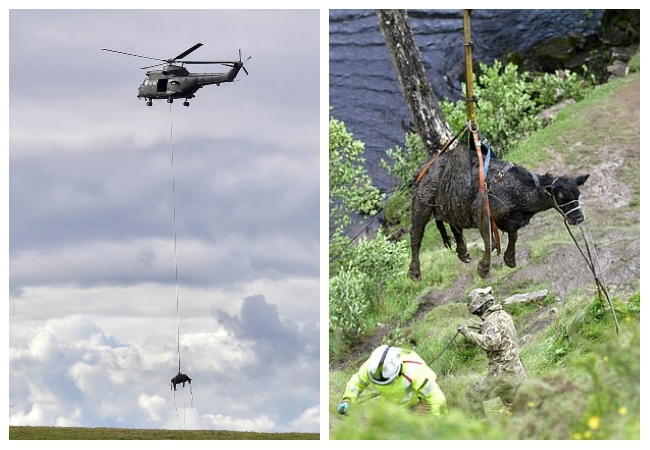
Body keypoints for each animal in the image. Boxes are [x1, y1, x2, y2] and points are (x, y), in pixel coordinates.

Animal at [410, 144, 588, 280]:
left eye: (578, 194)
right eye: (561, 197)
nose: (578, 218)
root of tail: (423, 167)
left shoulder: (508, 220)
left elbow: (513, 236)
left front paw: (510, 259)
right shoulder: (481, 213)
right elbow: (490, 242)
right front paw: (483, 268)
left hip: (450, 206)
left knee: (454, 225)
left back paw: (463, 252)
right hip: (422, 204)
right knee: (416, 234)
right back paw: (415, 272)